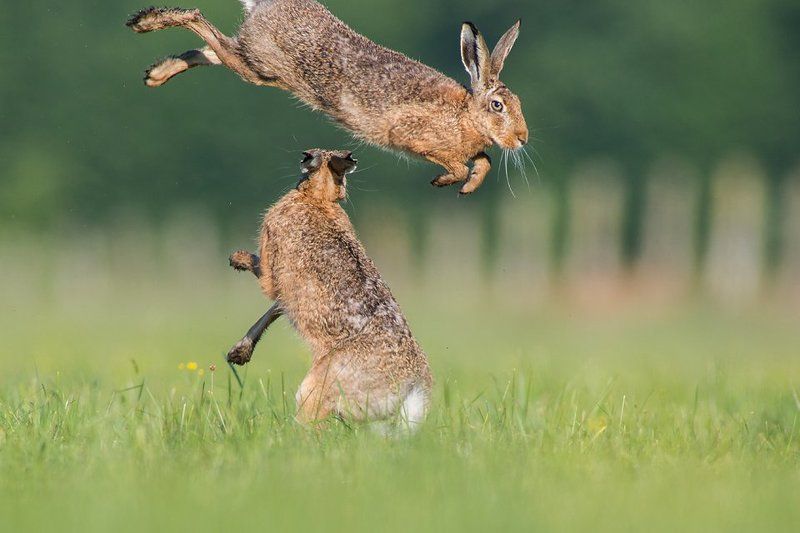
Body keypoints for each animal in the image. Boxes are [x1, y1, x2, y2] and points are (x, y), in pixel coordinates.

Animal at [126, 0, 529, 195]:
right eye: (497, 106)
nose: (522, 138)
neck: (465, 115)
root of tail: (265, 5)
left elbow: (483, 161)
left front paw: (469, 187)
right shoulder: (414, 137)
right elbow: (458, 164)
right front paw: (446, 182)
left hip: (256, 65)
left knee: (213, 49)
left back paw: (156, 73)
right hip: (262, 66)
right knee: (202, 24)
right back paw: (145, 22)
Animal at [226, 149, 433, 426]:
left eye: (305, 160)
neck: (318, 199)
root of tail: (408, 391)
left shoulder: (272, 264)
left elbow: (265, 278)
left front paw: (237, 259)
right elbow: (272, 310)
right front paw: (238, 354)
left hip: (315, 390)